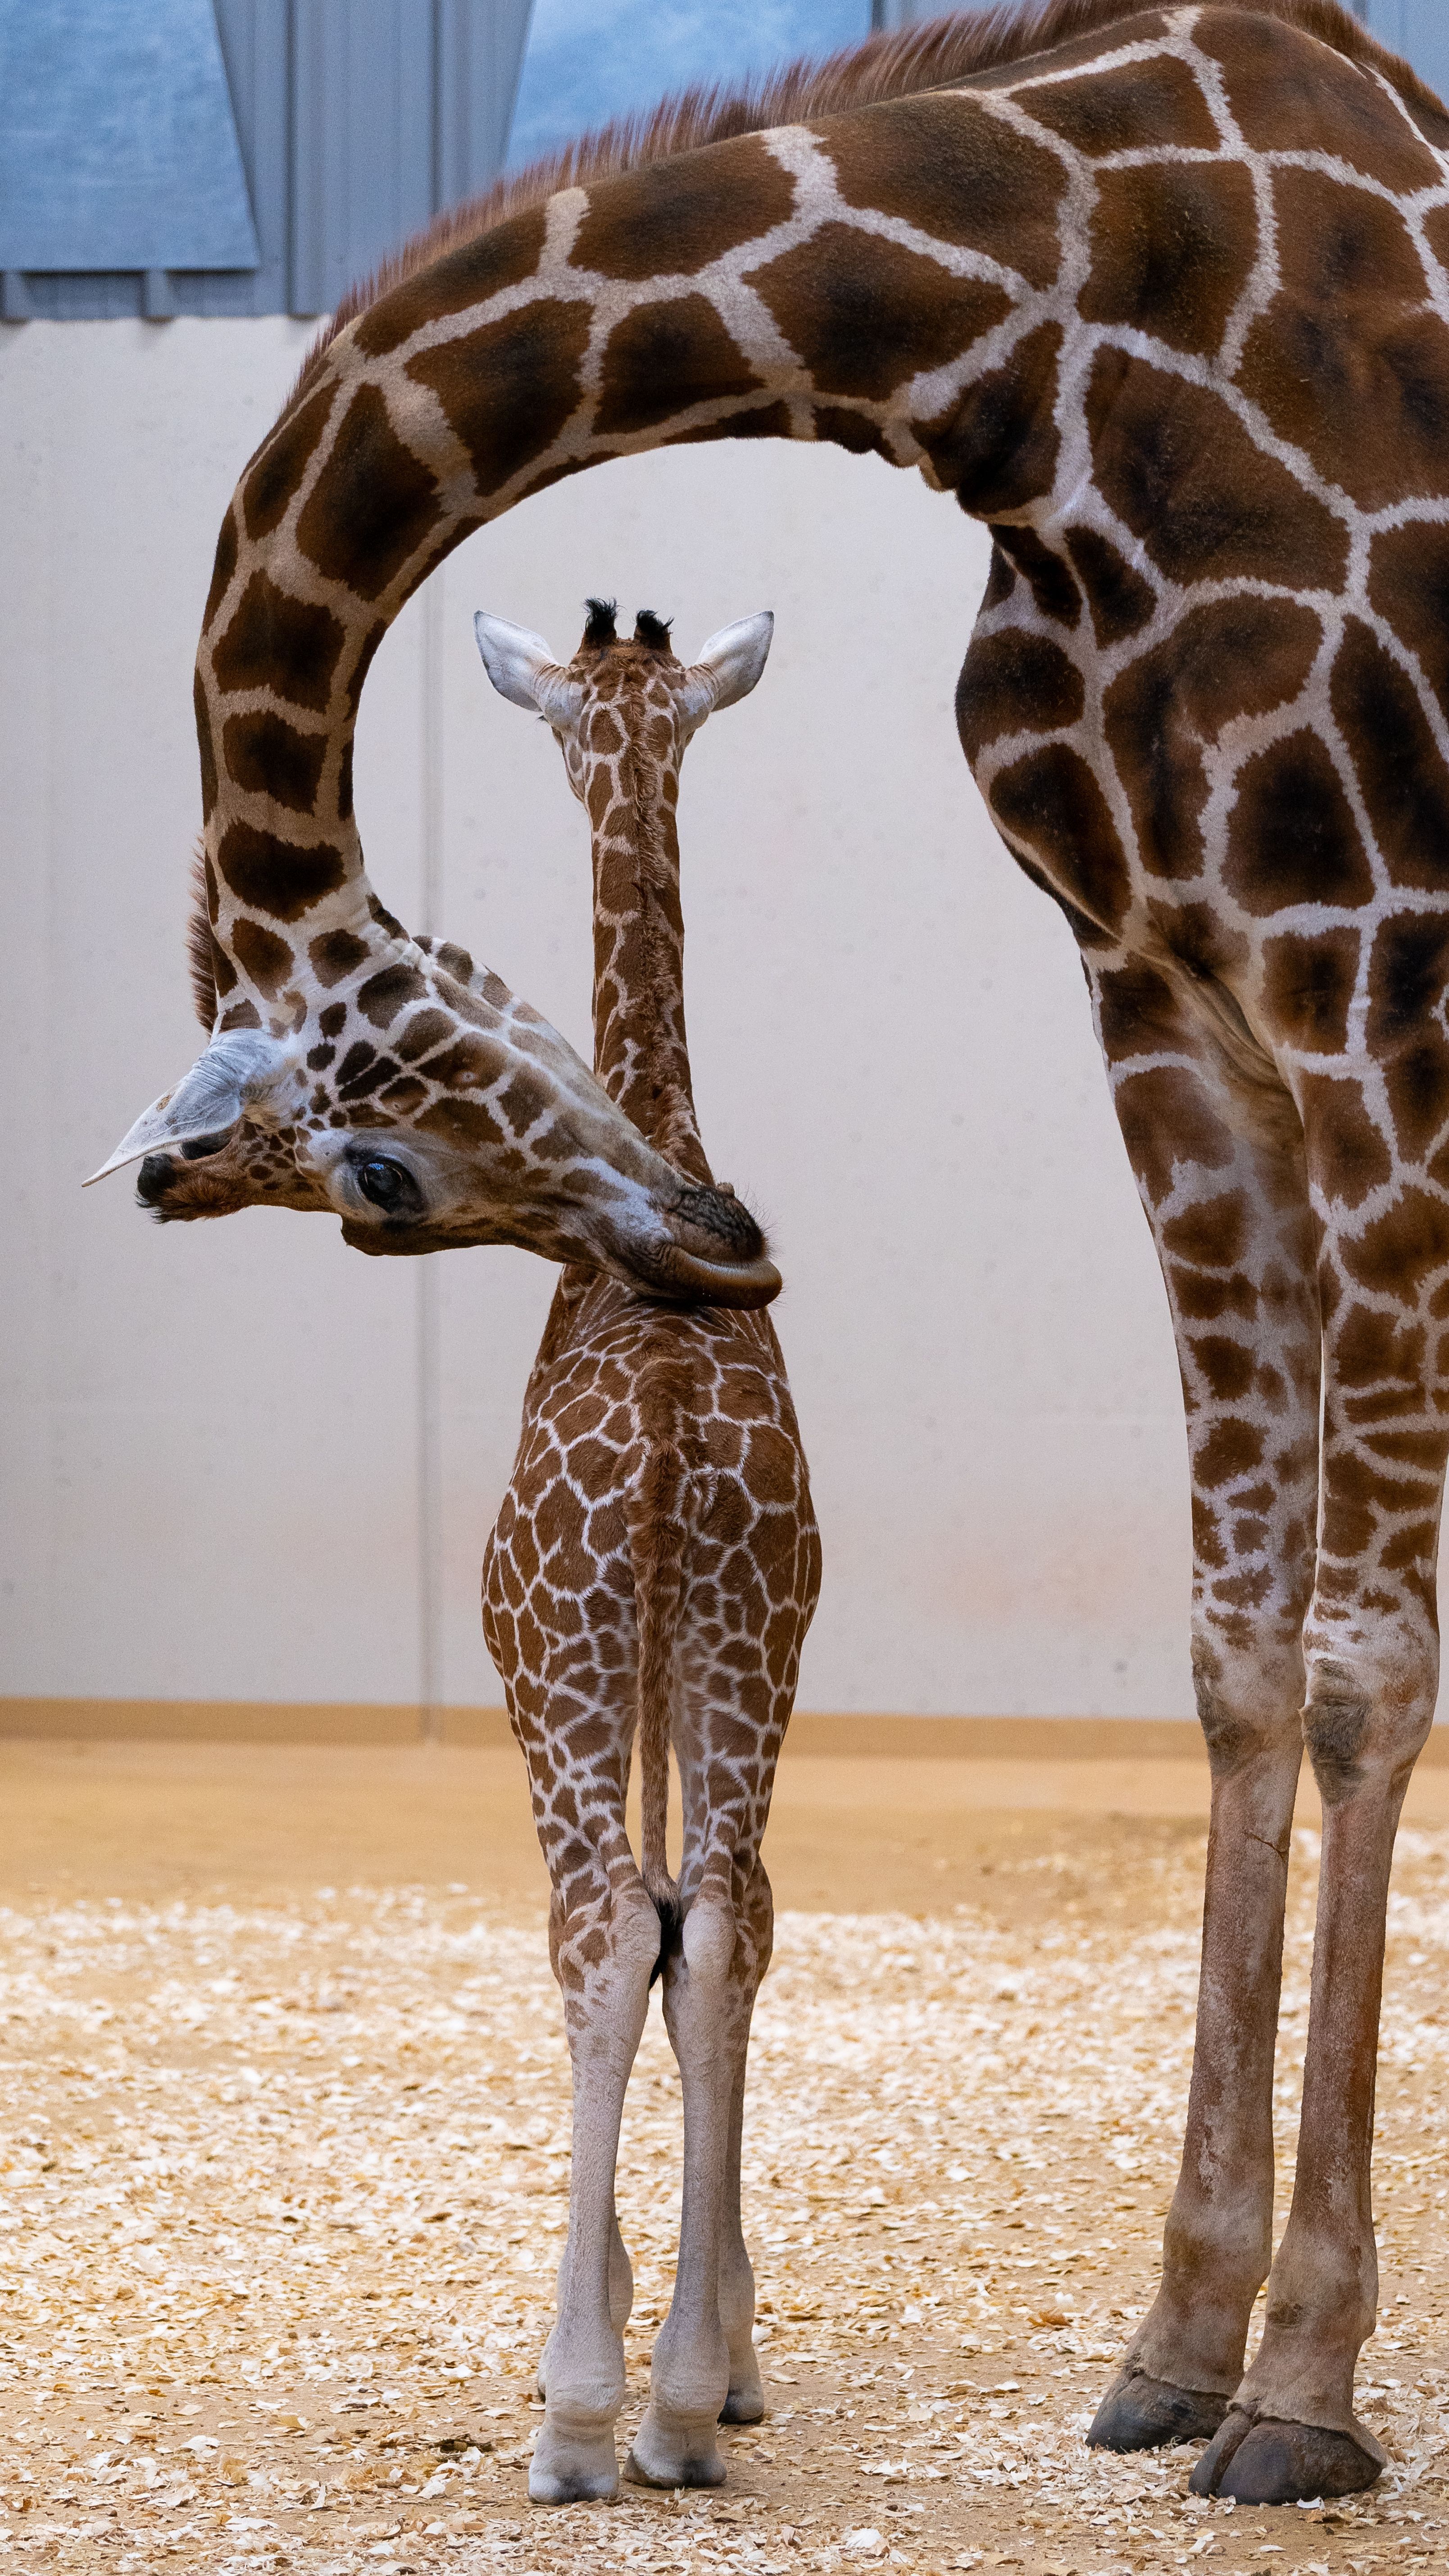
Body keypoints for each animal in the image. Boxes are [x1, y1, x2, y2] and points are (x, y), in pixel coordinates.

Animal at [104, 0, 1449, 2503]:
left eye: (371, 1182)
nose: (721, 1250)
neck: (1033, 335)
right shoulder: (1166, 998)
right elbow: (1232, 1652)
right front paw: (1180, 2336)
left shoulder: (1371, 980)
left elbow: (1355, 1669)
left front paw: (1308, 2382)